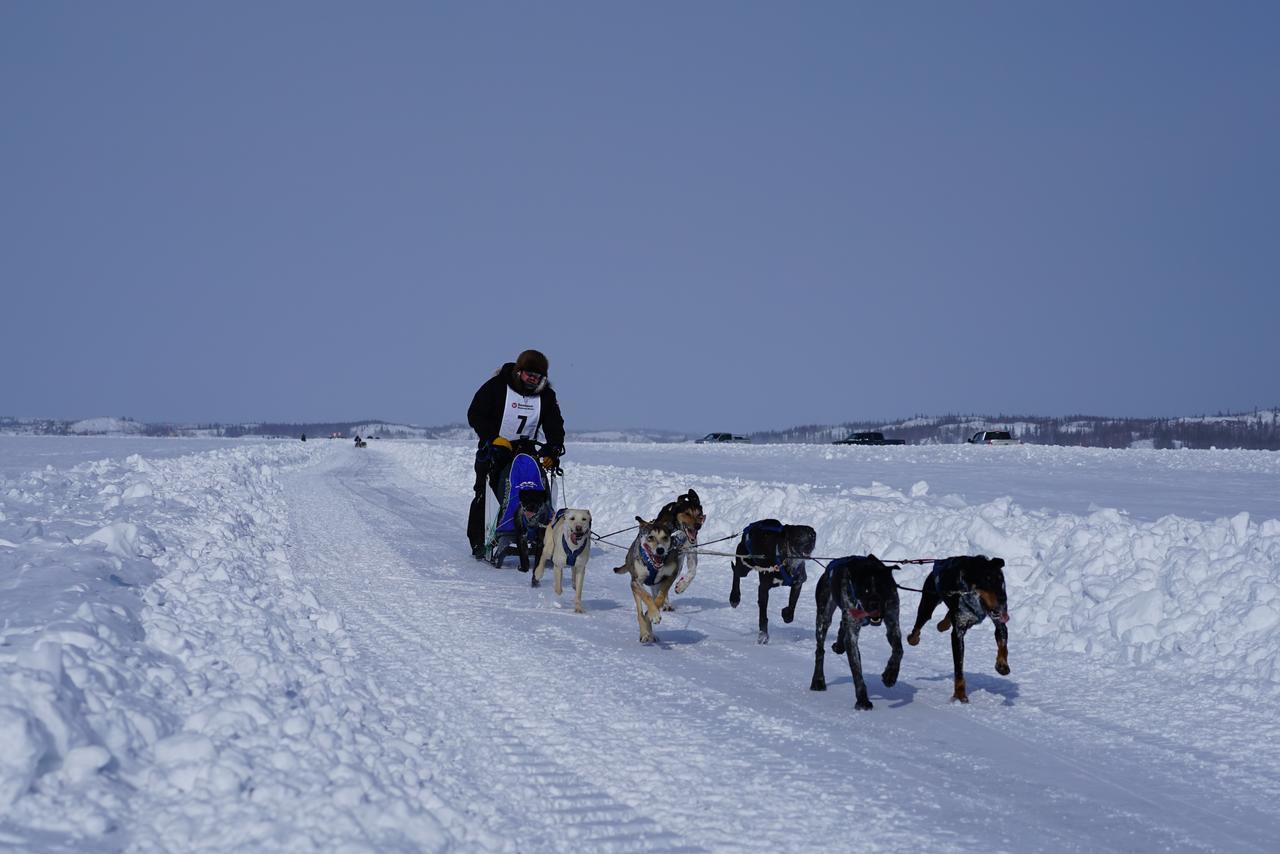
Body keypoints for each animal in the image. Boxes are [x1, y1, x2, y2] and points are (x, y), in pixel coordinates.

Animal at [611, 517, 680, 645]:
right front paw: (653, 615)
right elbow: (646, 597)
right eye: (650, 537)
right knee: (639, 613)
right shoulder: (636, 582)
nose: (660, 550)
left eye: (665, 537)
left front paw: (652, 614)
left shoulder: (670, 576)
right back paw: (644, 633)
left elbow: (660, 598)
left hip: (655, 586)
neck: (653, 564)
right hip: (635, 589)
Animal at [732, 517, 819, 645]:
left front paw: (786, 613)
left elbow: (792, 606)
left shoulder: (798, 583)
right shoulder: (763, 588)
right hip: (744, 564)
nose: (809, 546)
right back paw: (734, 597)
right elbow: (763, 616)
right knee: (736, 573)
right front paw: (763, 636)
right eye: (798, 536)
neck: (787, 561)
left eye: (812, 536)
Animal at [803, 550, 906, 711]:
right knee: (820, 650)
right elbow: (857, 671)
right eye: (865, 589)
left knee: (842, 626)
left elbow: (898, 650)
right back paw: (818, 680)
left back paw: (838, 646)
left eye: (882, 587)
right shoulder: (852, 634)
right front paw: (862, 700)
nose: (875, 604)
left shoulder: (892, 622)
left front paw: (890, 675)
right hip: (823, 617)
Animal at [906, 555, 1013, 701]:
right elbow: (959, 668)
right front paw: (960, 695)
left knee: (948, 616)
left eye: (1001, 580)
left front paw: (1002, 665)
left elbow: (1003, 645)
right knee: (917, 628)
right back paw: (914, 638)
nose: (1003, 599)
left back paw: (943, 625)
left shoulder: (999, 622)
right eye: (987, 581)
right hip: (928, 603)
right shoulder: (957, 634)